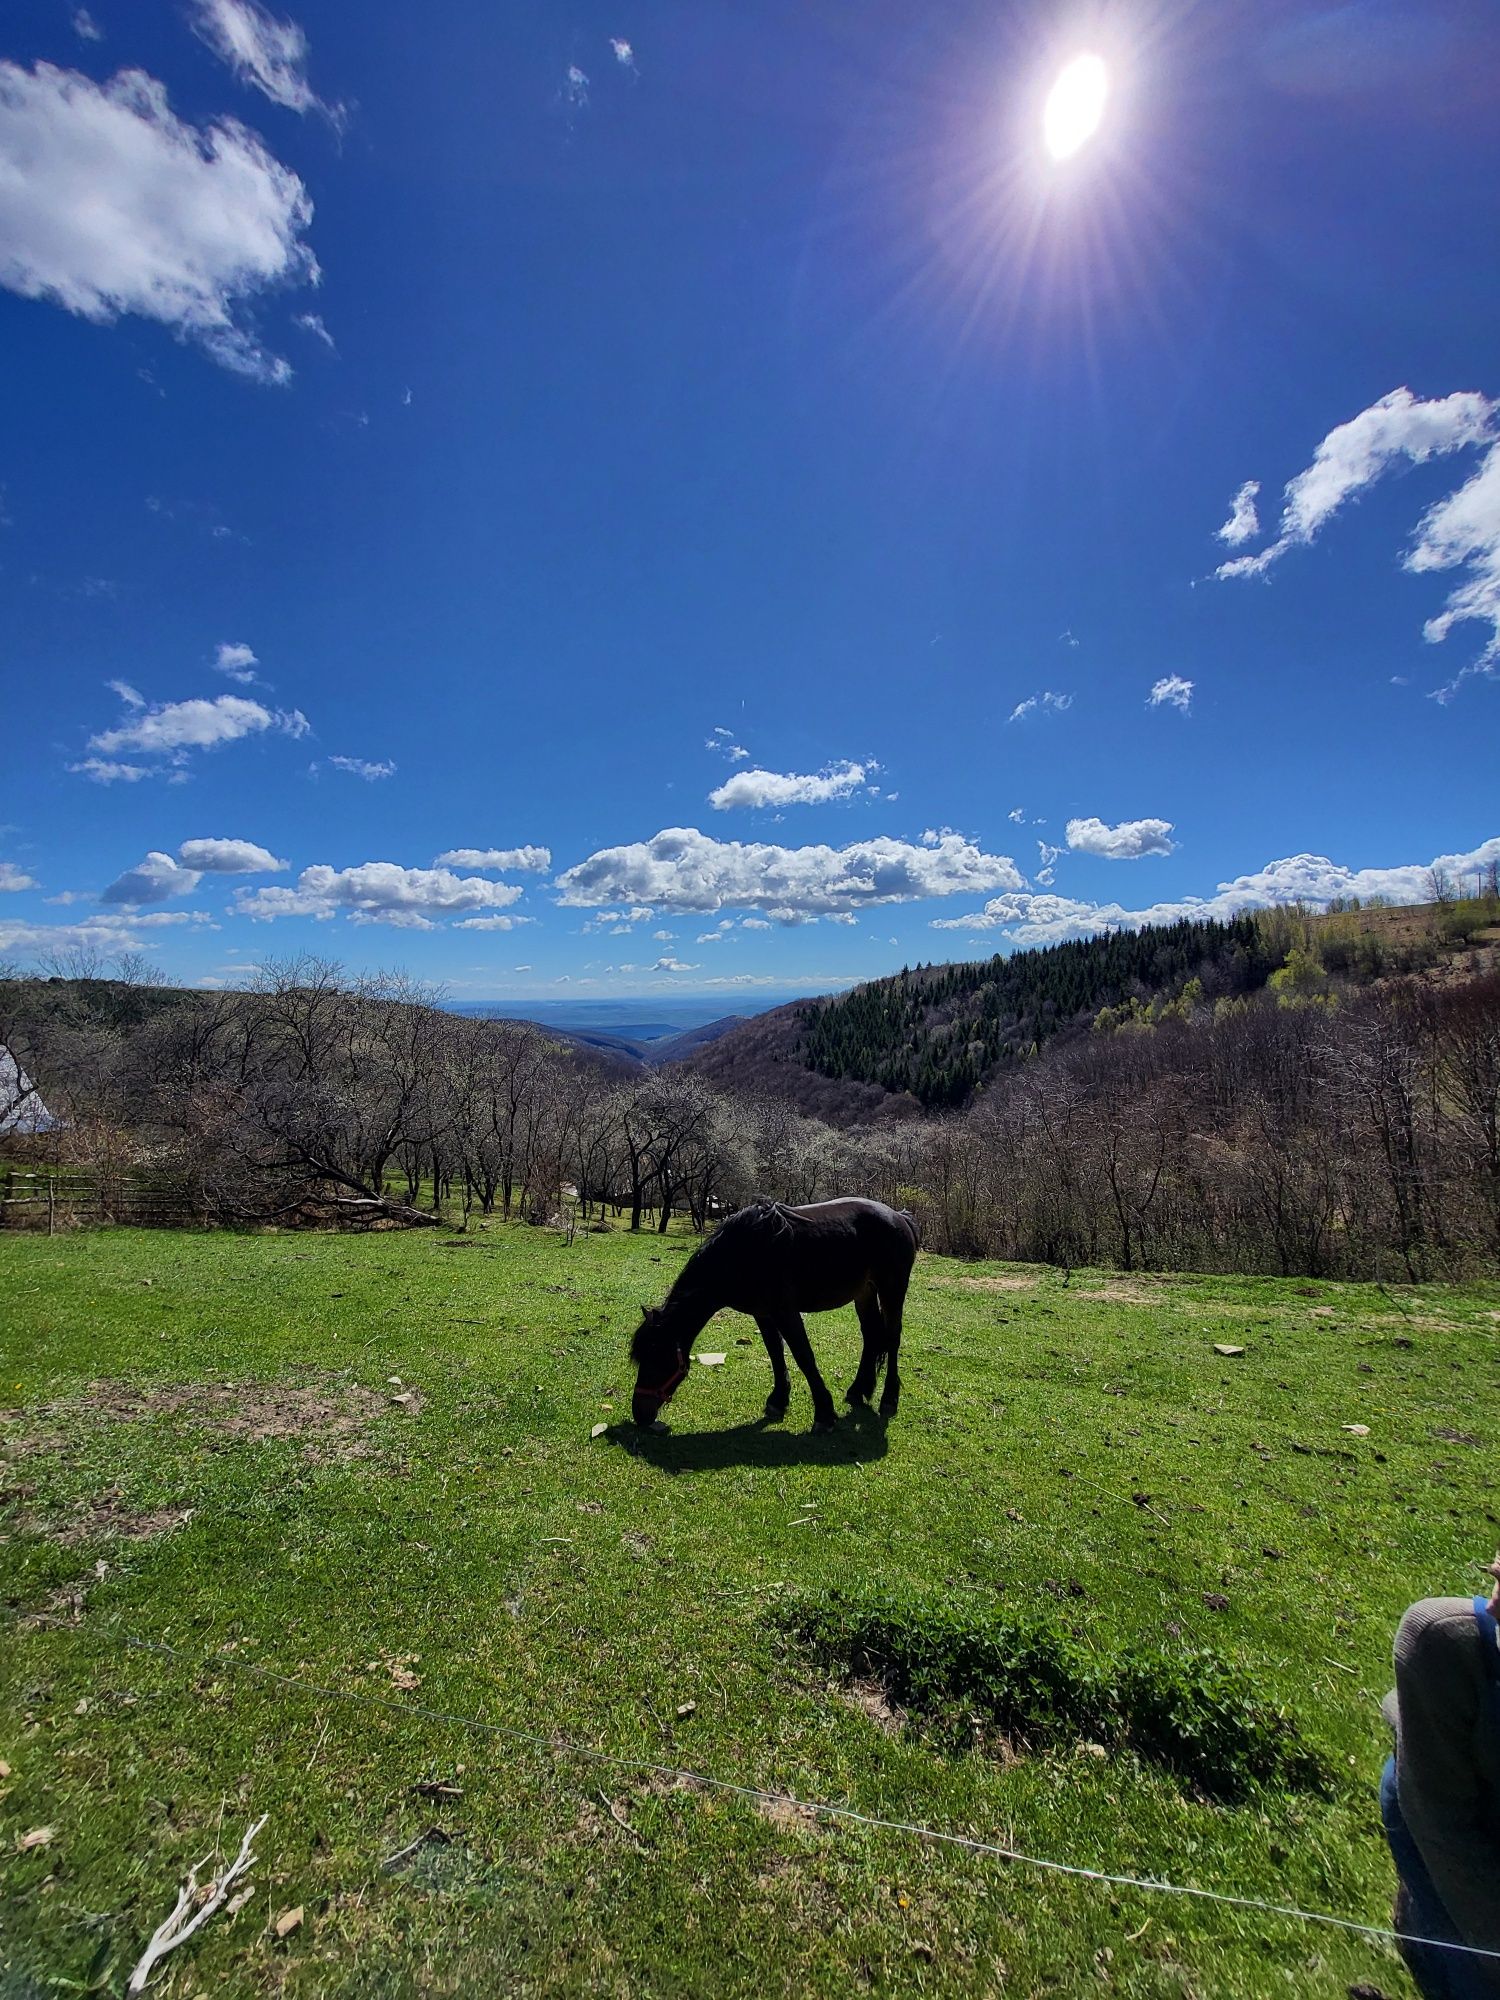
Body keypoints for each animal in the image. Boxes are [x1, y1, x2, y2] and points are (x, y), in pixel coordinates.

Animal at [632, 1192, 924, 1432]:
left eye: (656, 1357)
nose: (639, 1414)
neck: (742, 1254)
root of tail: (900, 1217)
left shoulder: (785, 1312)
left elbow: (804, 1356)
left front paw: (824, 1413)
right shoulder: (763, 1314)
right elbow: (775, 1353)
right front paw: (778, 1400)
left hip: (892, 1290)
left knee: (892, 1337)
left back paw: (888, 1399)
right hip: (864, 1293)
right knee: (871, 1336)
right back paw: (858, 1391)